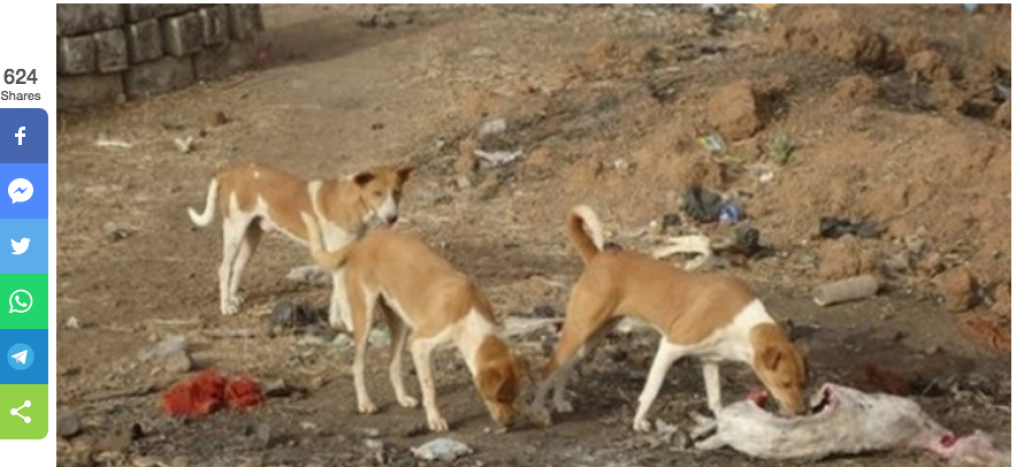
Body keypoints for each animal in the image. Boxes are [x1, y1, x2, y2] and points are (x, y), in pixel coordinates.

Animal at [190, 159, 413, 321]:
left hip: (252, 236)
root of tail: (229, 172)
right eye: (377, 193)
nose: (392, 218)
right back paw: (225, 306)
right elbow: (340, 294)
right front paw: (342, 322)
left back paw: (233, 297)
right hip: (234, 232)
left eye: (397, 192)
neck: (352, 201)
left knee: (237, 267)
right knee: (224, 268)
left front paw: (337, 321)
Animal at [299, 211, 528, 430]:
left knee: (393, 366)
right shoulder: (420, 344)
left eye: (516, 396)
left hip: (400, 326)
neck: (469, 315)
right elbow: (429, 387)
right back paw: (365, 403)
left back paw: (402, 398)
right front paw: (435, 419)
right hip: (365, 320)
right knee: (357, 366)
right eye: (500, 397)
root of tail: (362, 243)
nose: (510, 423)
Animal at [528, 205, 806, 432]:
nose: (802, 412)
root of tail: (598, 257)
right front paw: (639, 422)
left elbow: (715, 400)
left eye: (803, 382)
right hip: (579, 328)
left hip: (591, 337)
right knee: (548, 368)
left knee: (566, 367)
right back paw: (538, 411)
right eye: (785, 383)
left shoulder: (710, 361)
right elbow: (650, 391)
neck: (743, 324)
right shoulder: (670, 346)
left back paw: (559, 402)